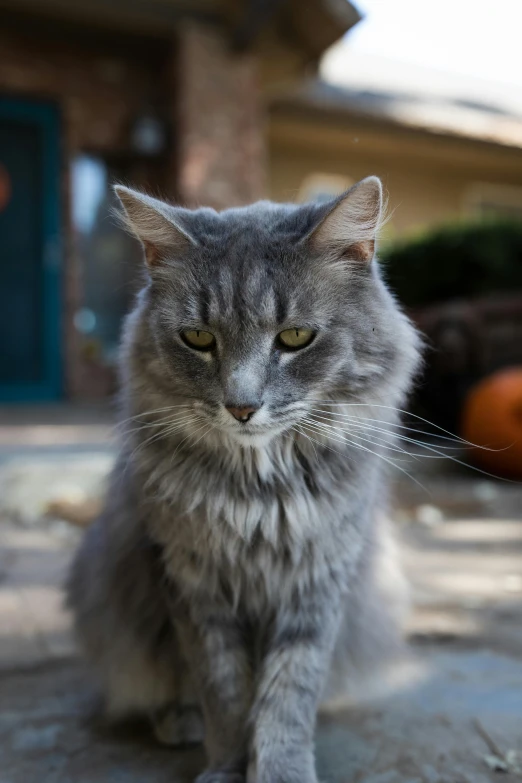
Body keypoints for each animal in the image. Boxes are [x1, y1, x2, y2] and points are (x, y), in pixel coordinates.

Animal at [67, 178, 420, 783]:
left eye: (296, 337)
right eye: (198, 337)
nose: (241, 407)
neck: (260, 490)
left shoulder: (318, 579)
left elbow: (288, 691)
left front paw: (281, 769)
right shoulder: (192, 582)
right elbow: (225, 690)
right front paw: (228, 766)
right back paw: (177, 721)